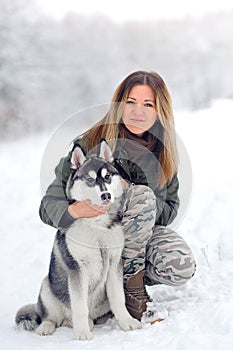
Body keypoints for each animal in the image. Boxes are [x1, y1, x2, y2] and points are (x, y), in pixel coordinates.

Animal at [15, 141, 142, 340]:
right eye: (90, 179)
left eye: (107, 177)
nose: (106, 195)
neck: (97, 225)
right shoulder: (77, 269)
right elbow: (80, 306)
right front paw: (82, 334)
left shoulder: (115, 264)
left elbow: (118, 299)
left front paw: (127, 322)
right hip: (47, 286)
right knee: (51, 316)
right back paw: (47, 326)